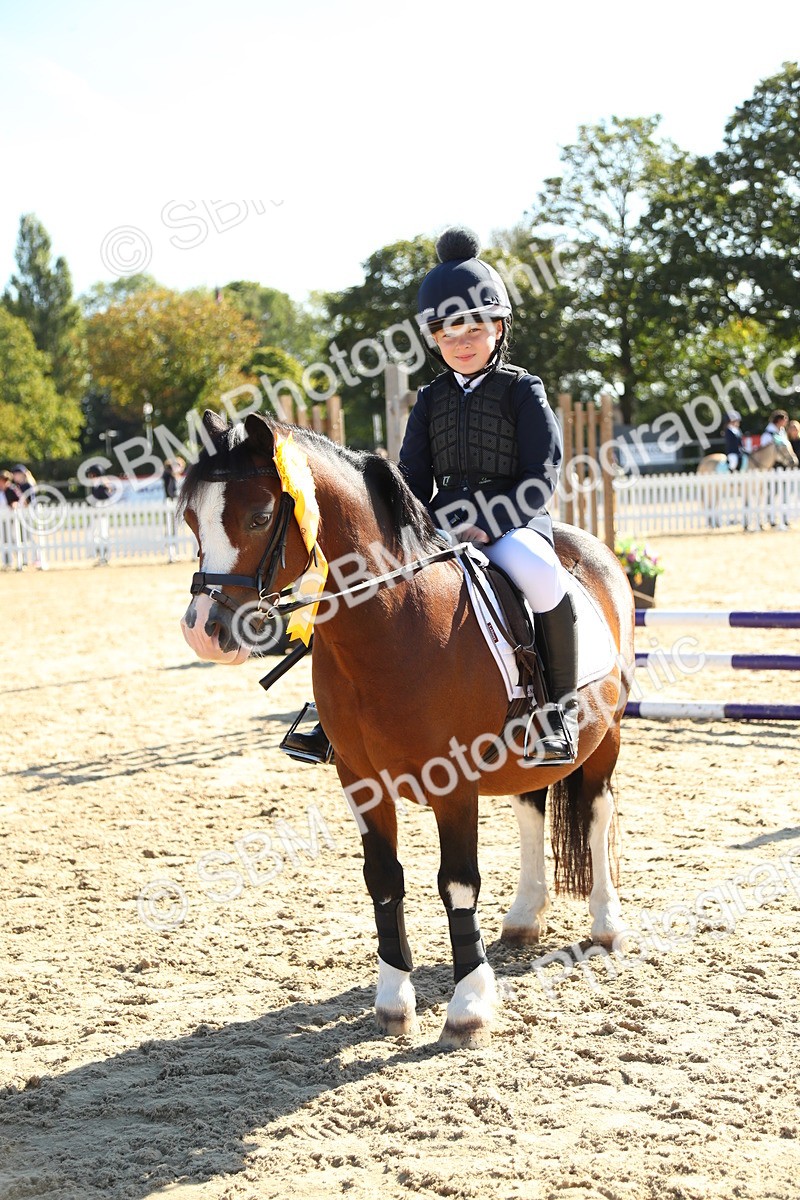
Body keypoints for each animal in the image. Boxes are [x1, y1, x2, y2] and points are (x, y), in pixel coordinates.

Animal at [179, 411, 636, 1047]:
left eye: (261, 516)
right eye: (192, 517)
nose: (202, 632)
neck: (393, 625)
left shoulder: (455, 784)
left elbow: (457, 883)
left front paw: (468, 1008)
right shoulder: (360, 779)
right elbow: (383, 879)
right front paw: (394, 1000)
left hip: (607, 735)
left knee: (595, 812)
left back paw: (607, 923)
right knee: (531, 808)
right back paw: (524, 918)